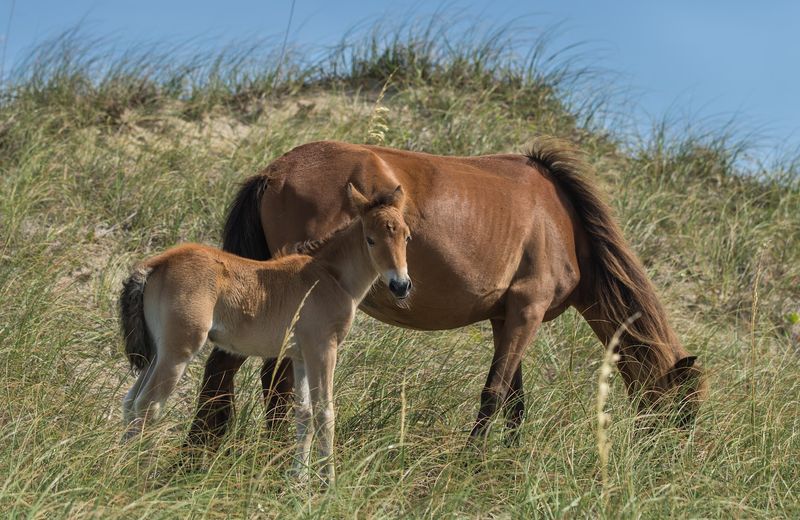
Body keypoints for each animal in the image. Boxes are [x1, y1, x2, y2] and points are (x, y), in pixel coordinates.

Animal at [119, 183, 412, 483]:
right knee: (148, 405)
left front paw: (298, 480)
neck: (329, 276)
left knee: (130, 402)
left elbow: (304, 413)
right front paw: (328, 482)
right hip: (178, 353)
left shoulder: (300, 356)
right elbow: (324, 413)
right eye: (370, 239)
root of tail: (156, 263)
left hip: (157, 353)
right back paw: (139, 474)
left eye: (407, 237)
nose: (400, 285)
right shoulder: (323, 349)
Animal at [187, 136, 705, 449]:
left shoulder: (505, 317)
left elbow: (514, 399)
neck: (562, 222)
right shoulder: (527, 311)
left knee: (226, 369)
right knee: (272, 380)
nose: (668, 466)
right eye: (685, 410)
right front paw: (474, 459)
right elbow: (495, 394)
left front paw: (508, 460)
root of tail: (274, 172)